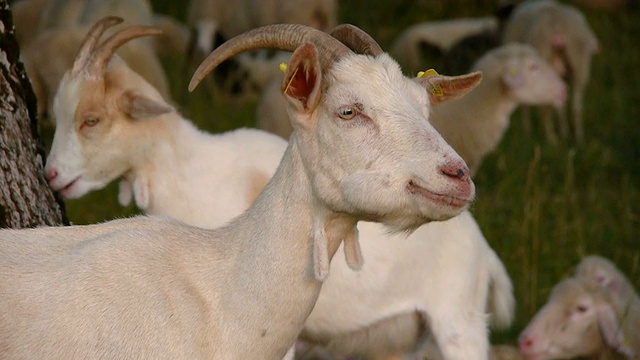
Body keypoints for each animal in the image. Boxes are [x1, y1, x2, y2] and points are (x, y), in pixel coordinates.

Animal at [502, 0, 604, 145]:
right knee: (576, 107)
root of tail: (556, 23)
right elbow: (560, 106)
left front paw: (527, 130)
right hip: (579, 63)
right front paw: (564, 132)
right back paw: (578, 139)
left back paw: (550, 138)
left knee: (544, 107)